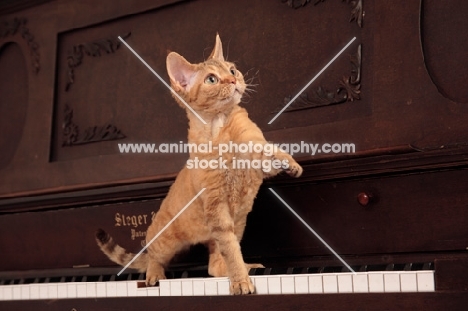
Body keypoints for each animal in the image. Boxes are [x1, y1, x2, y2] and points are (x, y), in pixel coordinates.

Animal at [97, 34, 304, 294]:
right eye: (211, 79)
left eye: (232, 69)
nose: (233, 79)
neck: (218, 127)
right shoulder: (216, 206)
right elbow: (231, 252)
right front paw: (240, 281)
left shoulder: (254, 156)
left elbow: (269, 152)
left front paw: (290, 164)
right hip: (167, 240)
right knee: (154, 255)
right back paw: (155, 275)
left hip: (236, 224)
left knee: (214, 265)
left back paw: (246, 266)